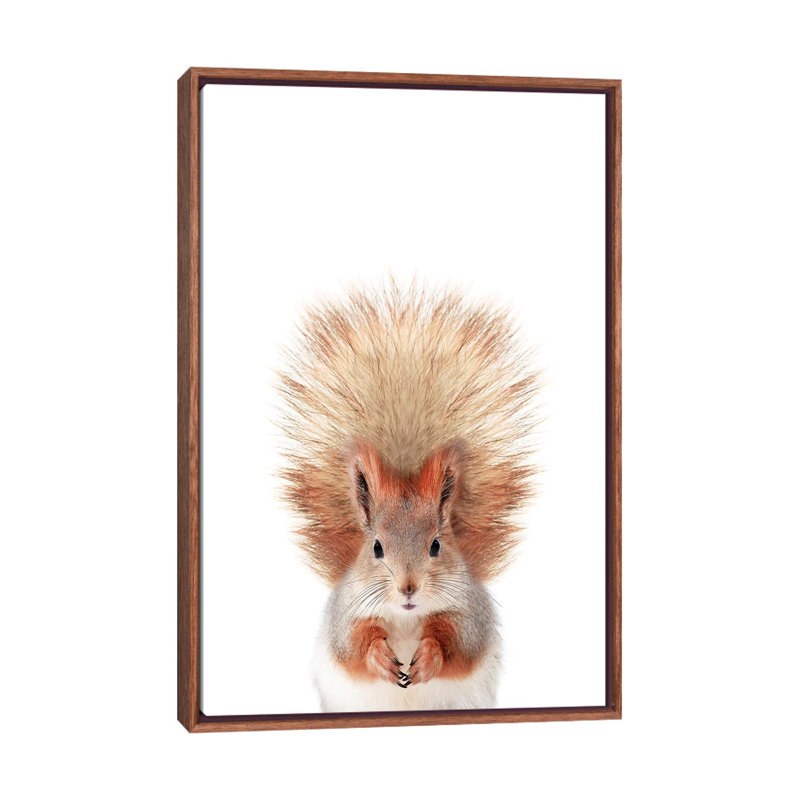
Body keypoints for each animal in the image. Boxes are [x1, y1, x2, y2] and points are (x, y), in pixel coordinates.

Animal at [278, 280, 538, 711]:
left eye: (436, 545)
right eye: (376, 548)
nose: (408, 587)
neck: (404, 616)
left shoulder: (469, 614)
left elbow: (458, 644)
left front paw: (429, 657)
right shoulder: (346, 615)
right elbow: (353, 646)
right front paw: (380, 658)